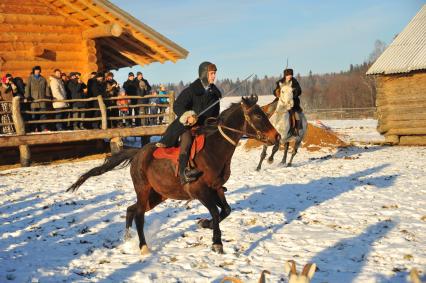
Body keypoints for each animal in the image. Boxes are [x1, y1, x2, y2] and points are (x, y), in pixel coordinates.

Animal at [66, 95, 280, 255]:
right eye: (257, 116)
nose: (276, 137)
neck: (213, 150)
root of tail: (138, 153)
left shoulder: (216, 188)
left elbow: (225, 211)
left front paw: (205, 224)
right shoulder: (200, 192)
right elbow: (216, 213)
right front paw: (216, 242)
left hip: (158, 195)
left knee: (130, 209)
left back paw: (127, 238)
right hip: (143, 190)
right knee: (139, 215)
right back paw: (143, 247)